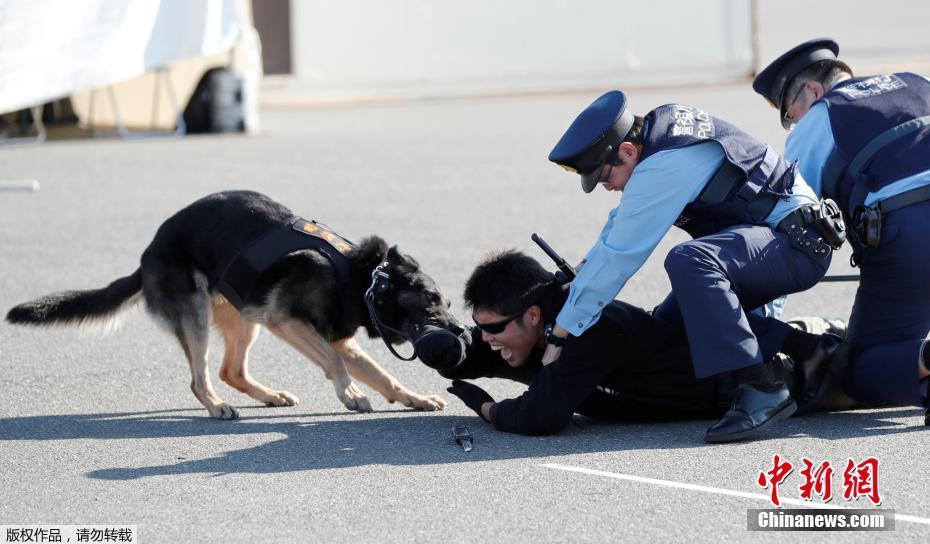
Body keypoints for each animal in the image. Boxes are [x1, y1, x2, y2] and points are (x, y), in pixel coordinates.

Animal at [6, 190, 468, 419]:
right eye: (431, 299)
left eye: (447, 301)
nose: (462, 332)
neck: (362, 278)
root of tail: (148, 252)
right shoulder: (287, 321)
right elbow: (337, 365)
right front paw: (351, 394)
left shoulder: (333, 337)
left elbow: (384, 376)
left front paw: (413, 398)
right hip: (201, 316)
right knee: (202, 378)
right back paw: (216, 407)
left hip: (245, 319)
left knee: (232, 370)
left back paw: (267, 395)